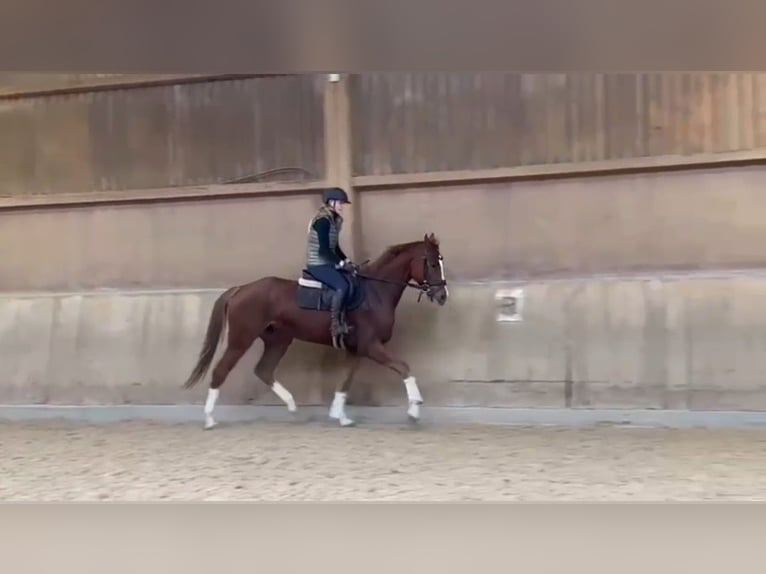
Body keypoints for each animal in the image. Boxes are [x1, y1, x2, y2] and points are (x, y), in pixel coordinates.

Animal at [182, 233, 449, 429]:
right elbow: (403, 368)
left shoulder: (357, 349)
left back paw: (292, 408)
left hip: (278, 340)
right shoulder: (371, 345)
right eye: (432, 263)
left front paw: (340, 416)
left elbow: (345, 381)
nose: (442, 295)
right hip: (241, 339)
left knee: (264, 370)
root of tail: (240, 289)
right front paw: (414, 408)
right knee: (221, 371)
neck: (374, 292)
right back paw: (209, 419)